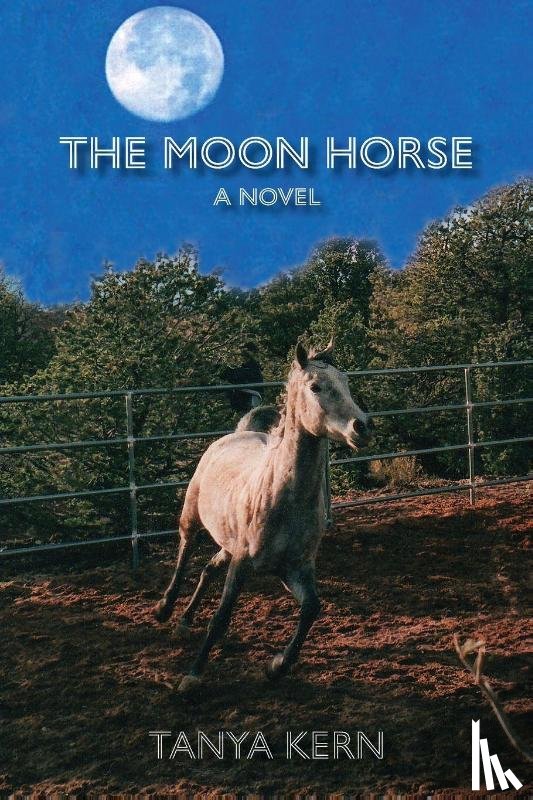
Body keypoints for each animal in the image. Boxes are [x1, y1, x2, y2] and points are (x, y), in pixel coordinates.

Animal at [153, 340, 372, 692]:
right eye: (315, 386)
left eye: (346, 381)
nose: (362, 426)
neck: (284, 500)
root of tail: (240, 431)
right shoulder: (243, 563)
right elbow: (221, 618)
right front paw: (192, 676)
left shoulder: (294, 568)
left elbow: (312, 608)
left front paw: (276, 666)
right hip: (193, 517)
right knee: (185, 552)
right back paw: (164, 608)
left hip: (228, 543)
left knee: (207, 569)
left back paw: (185, 622)